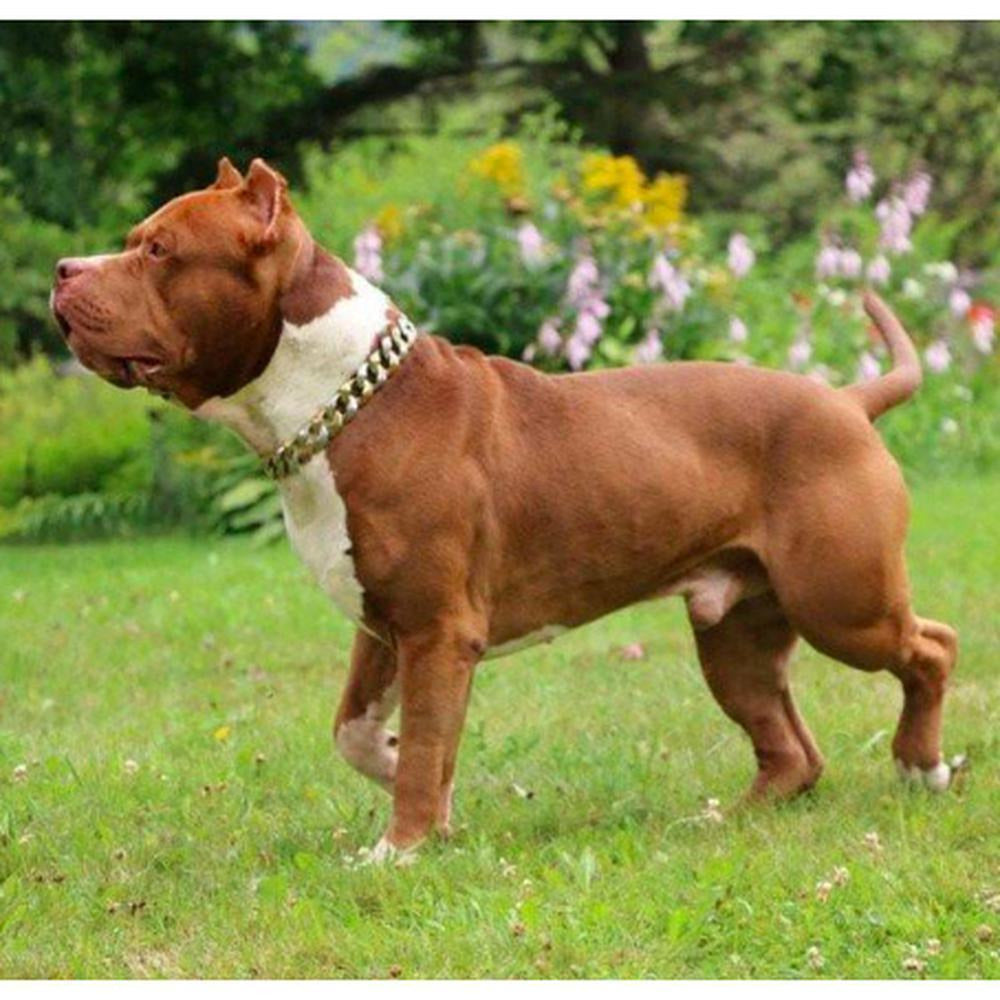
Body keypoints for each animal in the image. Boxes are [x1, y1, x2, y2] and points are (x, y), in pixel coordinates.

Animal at [51, 157, 959, 859]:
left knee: (932, 647)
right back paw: (727, 817)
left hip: (840, 600)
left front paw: (400, 847)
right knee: (792, 748)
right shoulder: (384, 627)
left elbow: (423, 743)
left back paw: (921, 764)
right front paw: (422, 792)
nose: (64, 269)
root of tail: (848, 400)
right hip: (734, 630)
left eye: (159, 249)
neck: (340, 402)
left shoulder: (437, 629)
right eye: (133, 239)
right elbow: (363, 733)